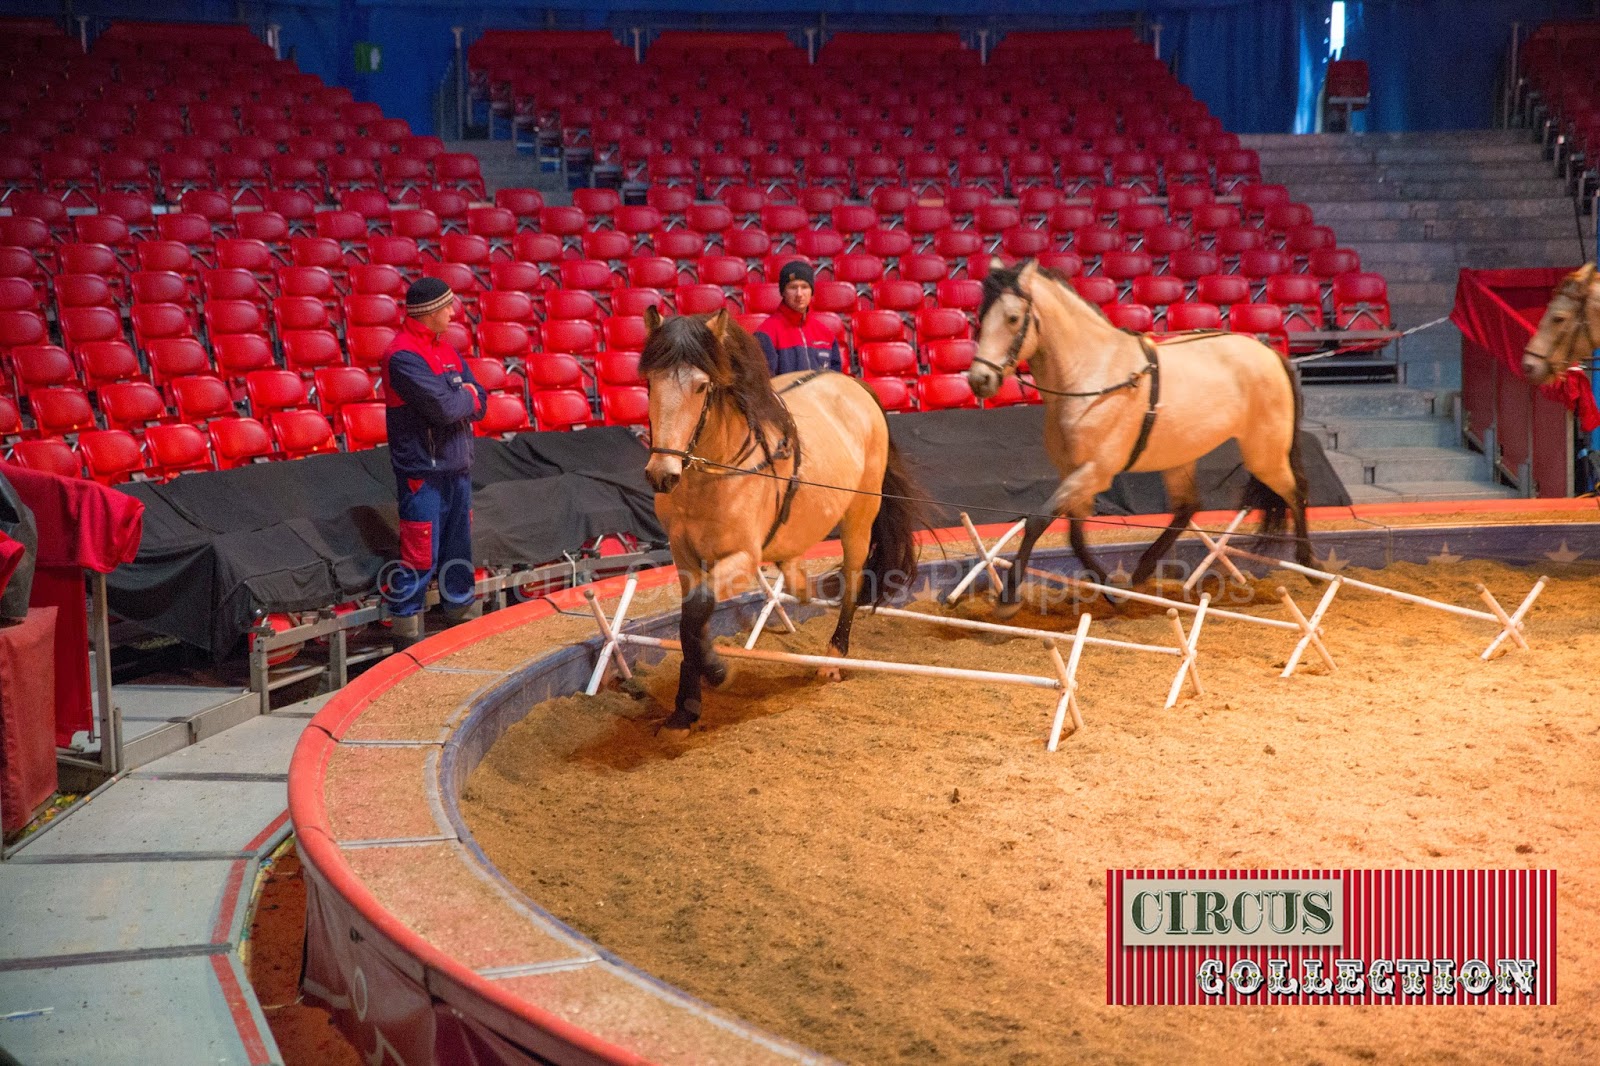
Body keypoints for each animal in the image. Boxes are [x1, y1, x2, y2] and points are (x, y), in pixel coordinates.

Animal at [633, 302, 915, 726]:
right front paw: (686, 706)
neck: (711, 476)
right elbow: (690, 619)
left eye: (701, 386)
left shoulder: (743, 557)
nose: (661, 474)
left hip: (860, 516)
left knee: (853, 578)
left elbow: (697, 609)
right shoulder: (683, 553)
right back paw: (802, 582)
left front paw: (716, 671)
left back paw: (834, 657)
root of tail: (852, 384)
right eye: (651, 383)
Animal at [960, 256, 1312, 614]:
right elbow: (1075, 536)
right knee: (1188, 507)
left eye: (1013, 318)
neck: (1091, 375)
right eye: (980, 317)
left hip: (1264, 453)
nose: (979, 379)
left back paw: (1310, 566)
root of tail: (1270, 354)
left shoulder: (1095, 471)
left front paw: (1008, 597)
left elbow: (1037, 521)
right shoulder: (1073, 472)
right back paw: (1141, 572)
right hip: (1180, 456)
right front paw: (1110, 589)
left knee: (1296, 493)